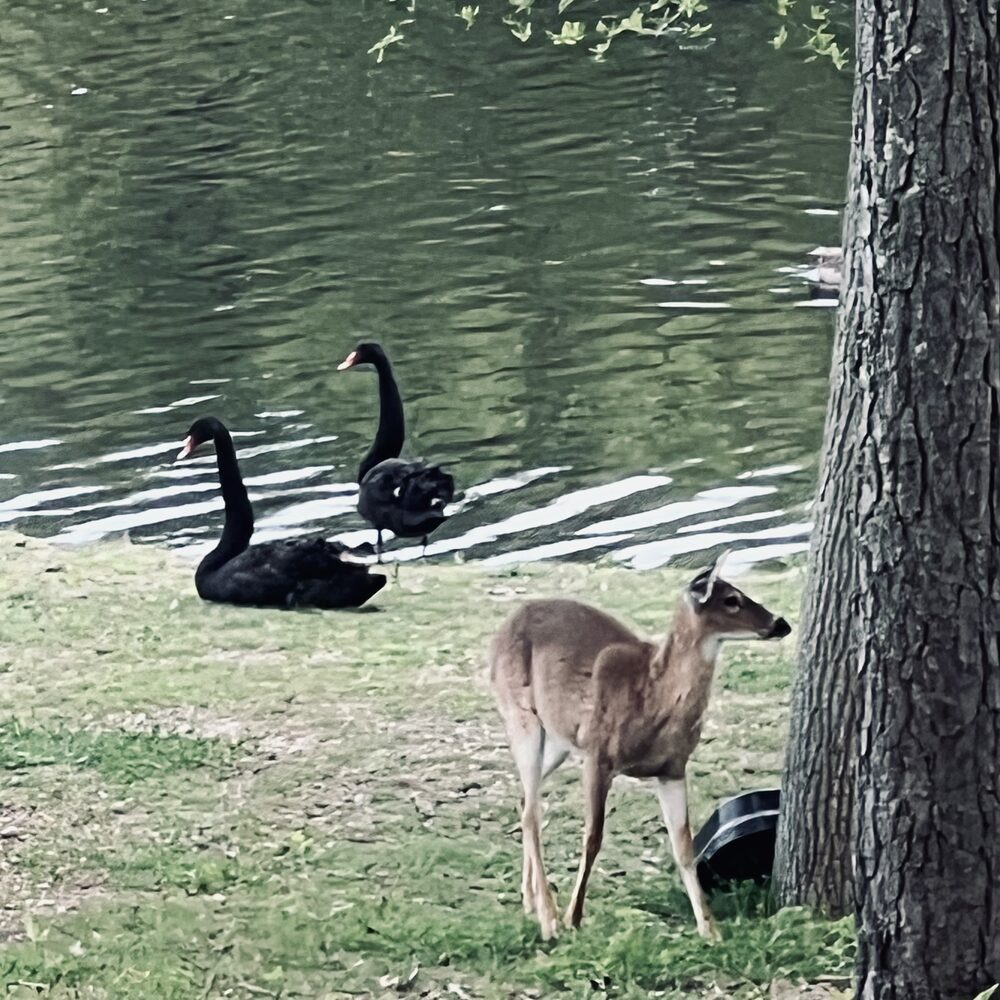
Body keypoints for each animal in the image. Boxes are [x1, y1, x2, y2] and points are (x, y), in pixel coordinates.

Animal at [488, 554, 791, 942]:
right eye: (731, 600)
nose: (780, 623)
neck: (653, 698)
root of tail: (503, 626)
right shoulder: (598, 753)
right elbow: (593, 837)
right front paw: (573, 916)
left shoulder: (672, 768)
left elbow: (684, 847)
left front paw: (709, 929)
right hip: (520, 715)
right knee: (532, 813)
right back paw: (549, 917)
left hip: (557, 740)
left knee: (524, 800)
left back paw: (529, 900)